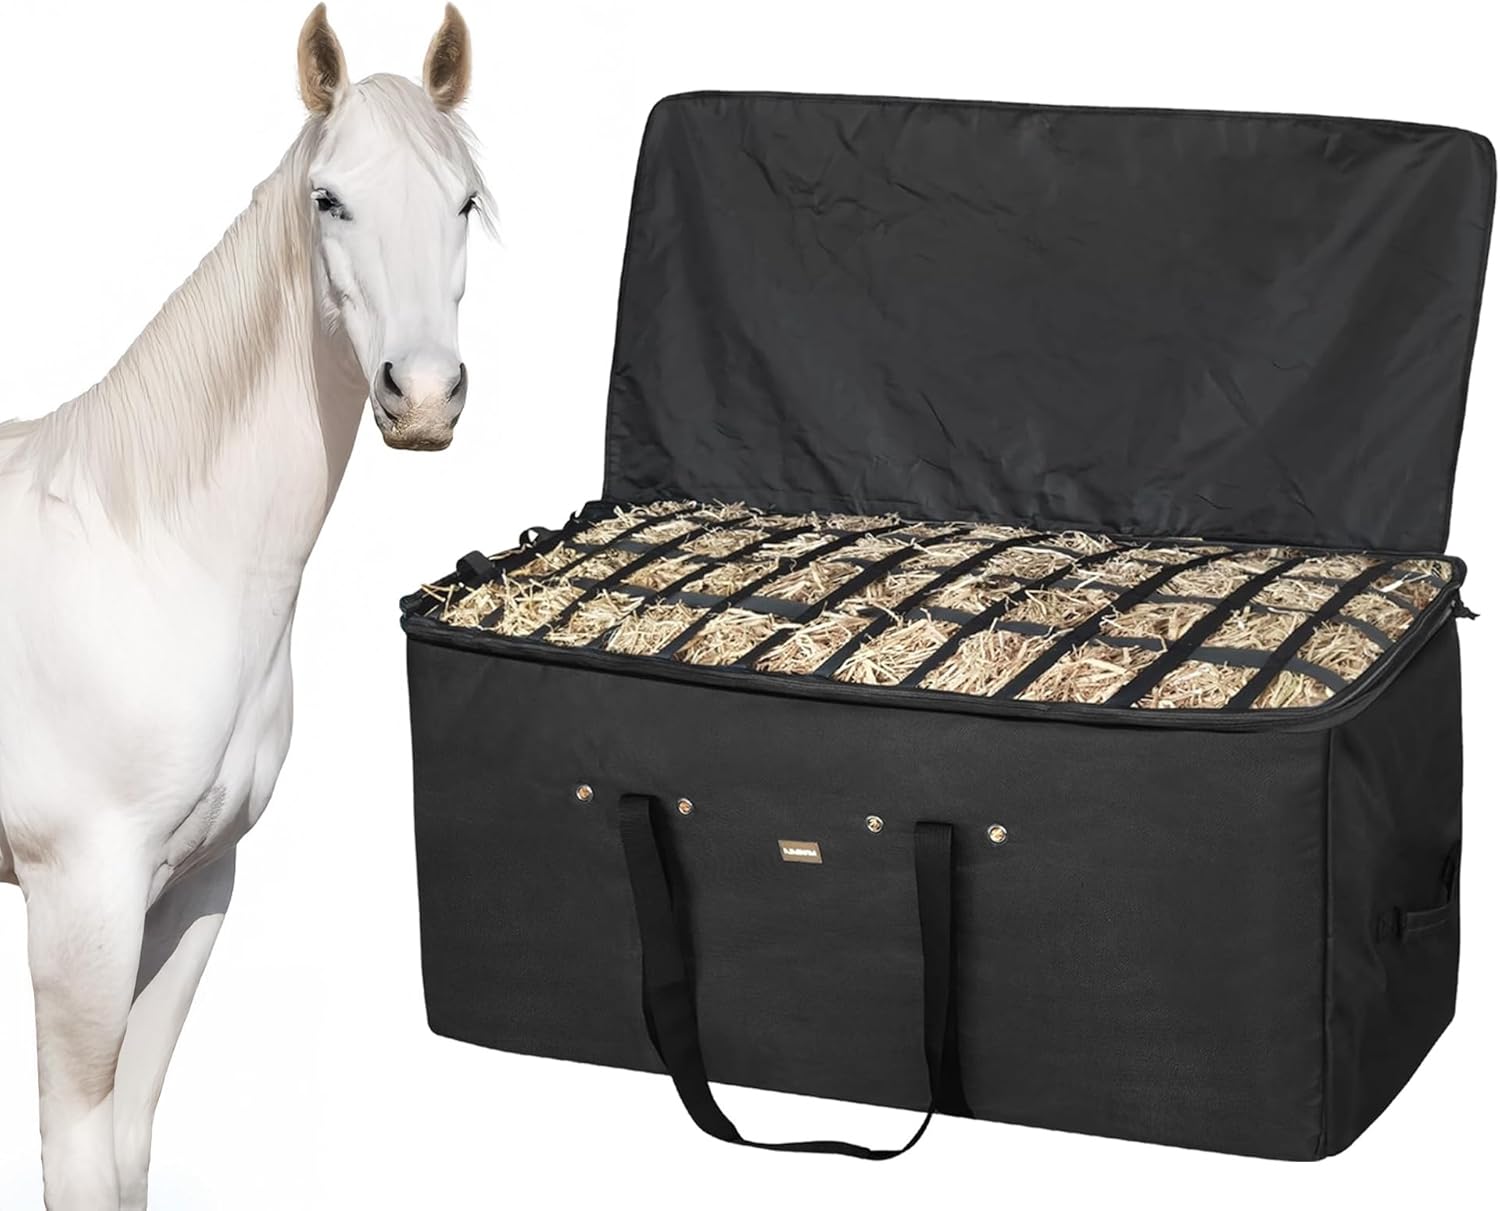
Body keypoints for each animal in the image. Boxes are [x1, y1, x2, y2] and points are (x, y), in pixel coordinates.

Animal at [0, 7, 489, 1207]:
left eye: (462, 201)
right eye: (330, 199)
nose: (422, 396)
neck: (151, 558)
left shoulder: (195, 885)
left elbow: (130, 1141)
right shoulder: (79, 900)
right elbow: (78, 1152)